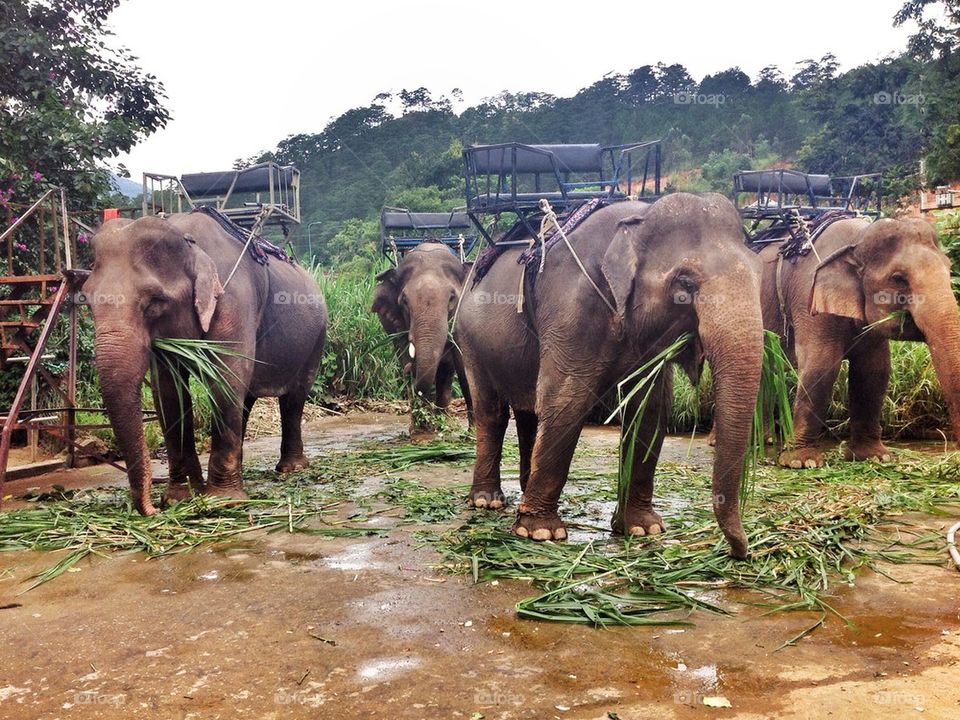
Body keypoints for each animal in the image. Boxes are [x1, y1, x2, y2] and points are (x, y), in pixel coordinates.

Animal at [80, 213, 327, 515]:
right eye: (87, 301)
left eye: (155, 301)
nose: (153, 510)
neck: (186, 236)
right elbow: (169, 393)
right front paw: (180, 498)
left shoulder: (234, 301)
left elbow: (226, 378)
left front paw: (223, 501)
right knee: (245, 399)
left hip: (316, 338)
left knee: (294, 397)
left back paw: (291, 469)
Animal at [372, 243, 473, 425]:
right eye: (404, 300)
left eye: (452, 298)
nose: (408, 369)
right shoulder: (396, 324)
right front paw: (420, 430)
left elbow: (464, 367)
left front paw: (473, 431)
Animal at [457, 193, 765, 558]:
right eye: (685, 284)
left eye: (758, 272)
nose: (740, 552)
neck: (637, 220)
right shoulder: (571, 308)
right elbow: (566, 401)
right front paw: (540, 533)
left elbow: (650, 409)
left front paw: (643, 529)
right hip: (471, 343)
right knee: (491, 412)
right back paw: (487, 502)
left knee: (528, 411)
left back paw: (522, 490)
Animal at [751, 216, 960, 468]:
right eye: (898, 278)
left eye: (949, 269)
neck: (857, 239)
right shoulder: (808, 298)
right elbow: (822, 364)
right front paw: (802, 462)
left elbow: (874, 369)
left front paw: (875, 457)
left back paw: (767, 440)